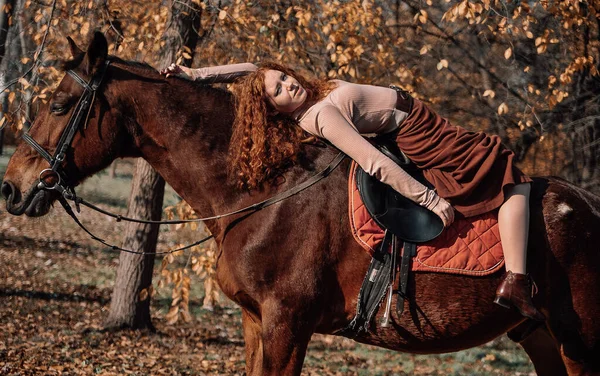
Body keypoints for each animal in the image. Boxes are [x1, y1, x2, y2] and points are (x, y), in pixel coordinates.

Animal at [3, 33, 600, 376]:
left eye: (60, 105)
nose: (11, 188)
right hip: (543, 340)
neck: (264, 194)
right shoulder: (255, 323)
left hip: (580, 343)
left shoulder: (287, 326)